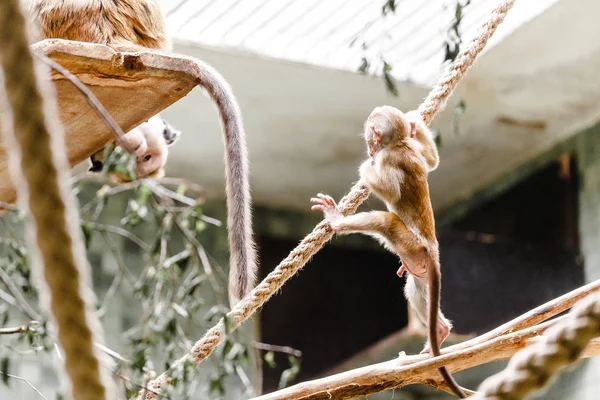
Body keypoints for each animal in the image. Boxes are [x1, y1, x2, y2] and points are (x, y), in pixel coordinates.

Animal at [312, 105, 466, 396]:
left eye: (370, 139)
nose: (369, 147)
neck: (399, 144)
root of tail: (432, 248)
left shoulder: (389, 159)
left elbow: (391, 190)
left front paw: (366, 166)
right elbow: (431, 162)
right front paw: (415, 124)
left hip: (410, 243)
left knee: (386, 221)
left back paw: (337, 221)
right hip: (418, 259)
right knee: (414, 289)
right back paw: (440, 330)